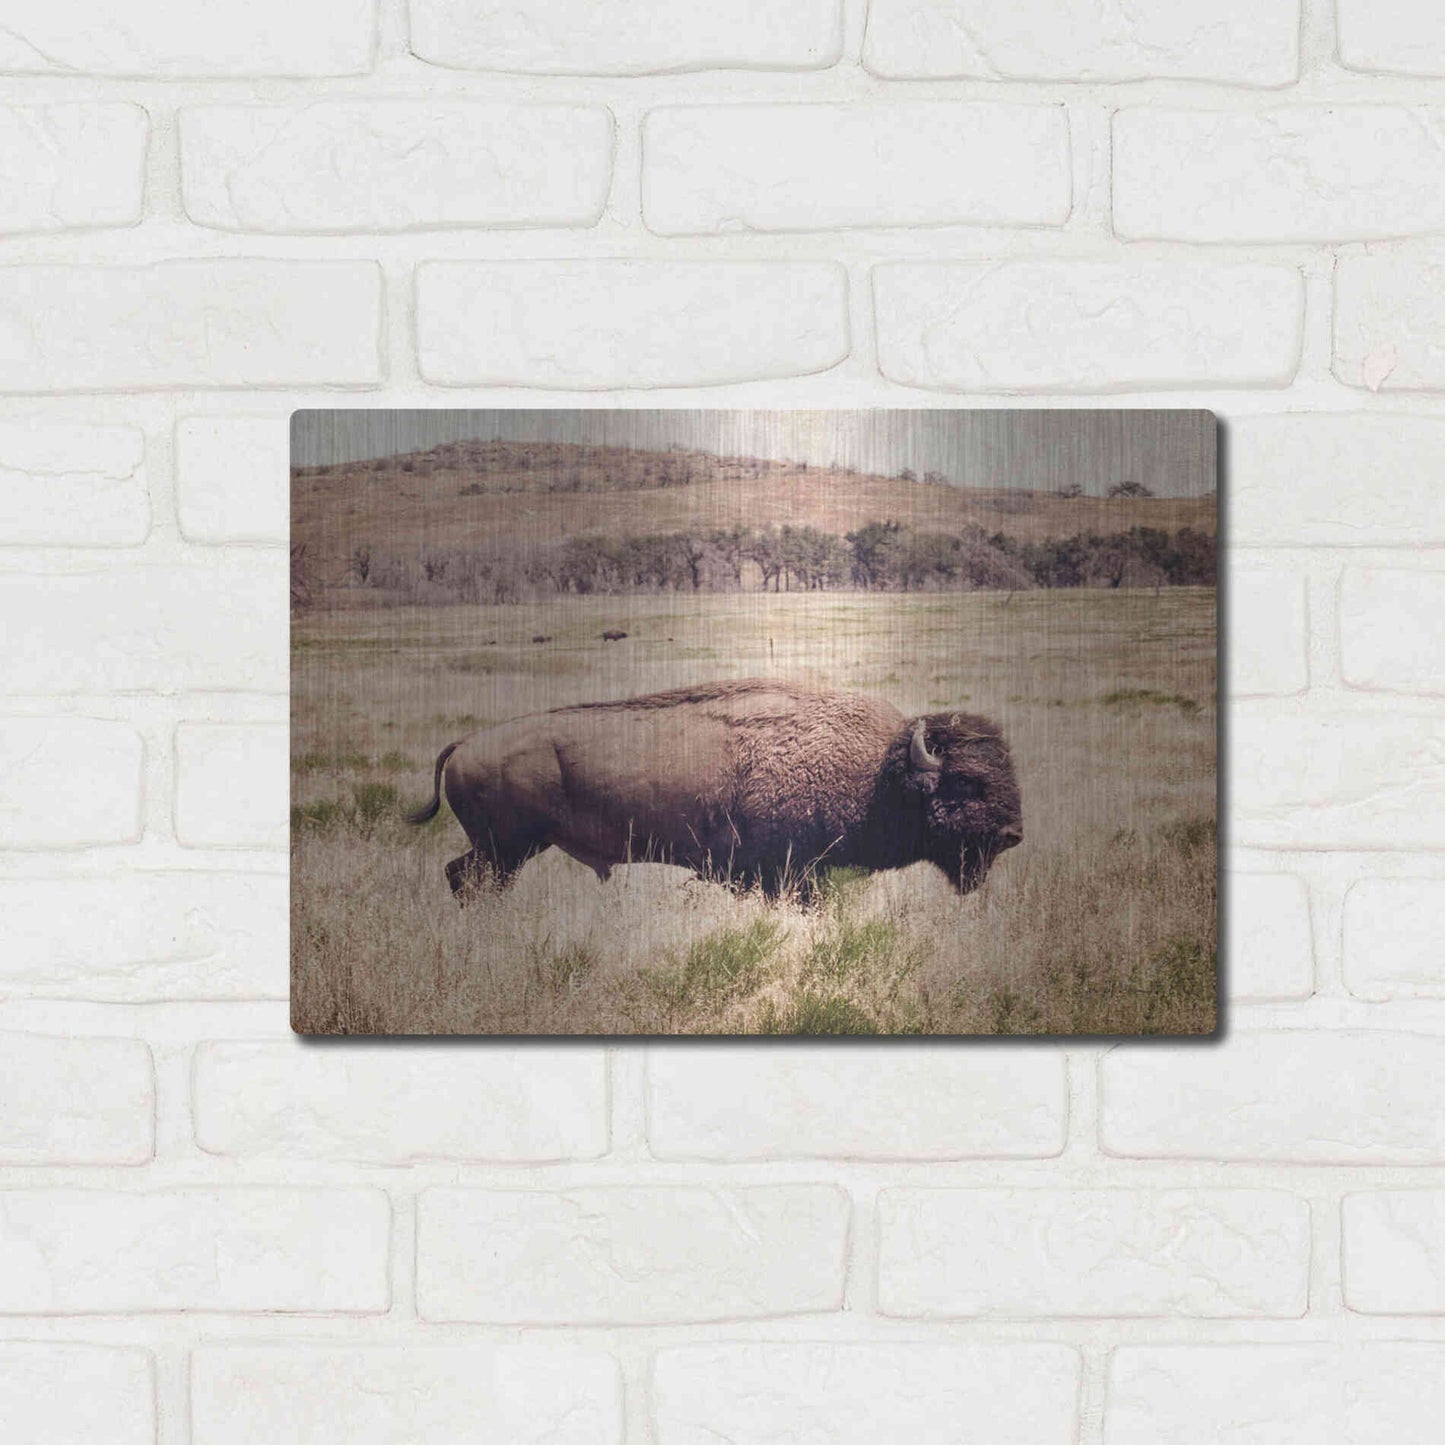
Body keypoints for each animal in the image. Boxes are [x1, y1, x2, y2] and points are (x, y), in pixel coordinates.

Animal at [408, 678, 1021, 900]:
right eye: (964, 782)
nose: (1013, 833)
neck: (878, 772)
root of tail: (466, 743)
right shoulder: (787, 875)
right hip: (507, 850)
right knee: (469, 878)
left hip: (503, 850)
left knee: (459, 875)